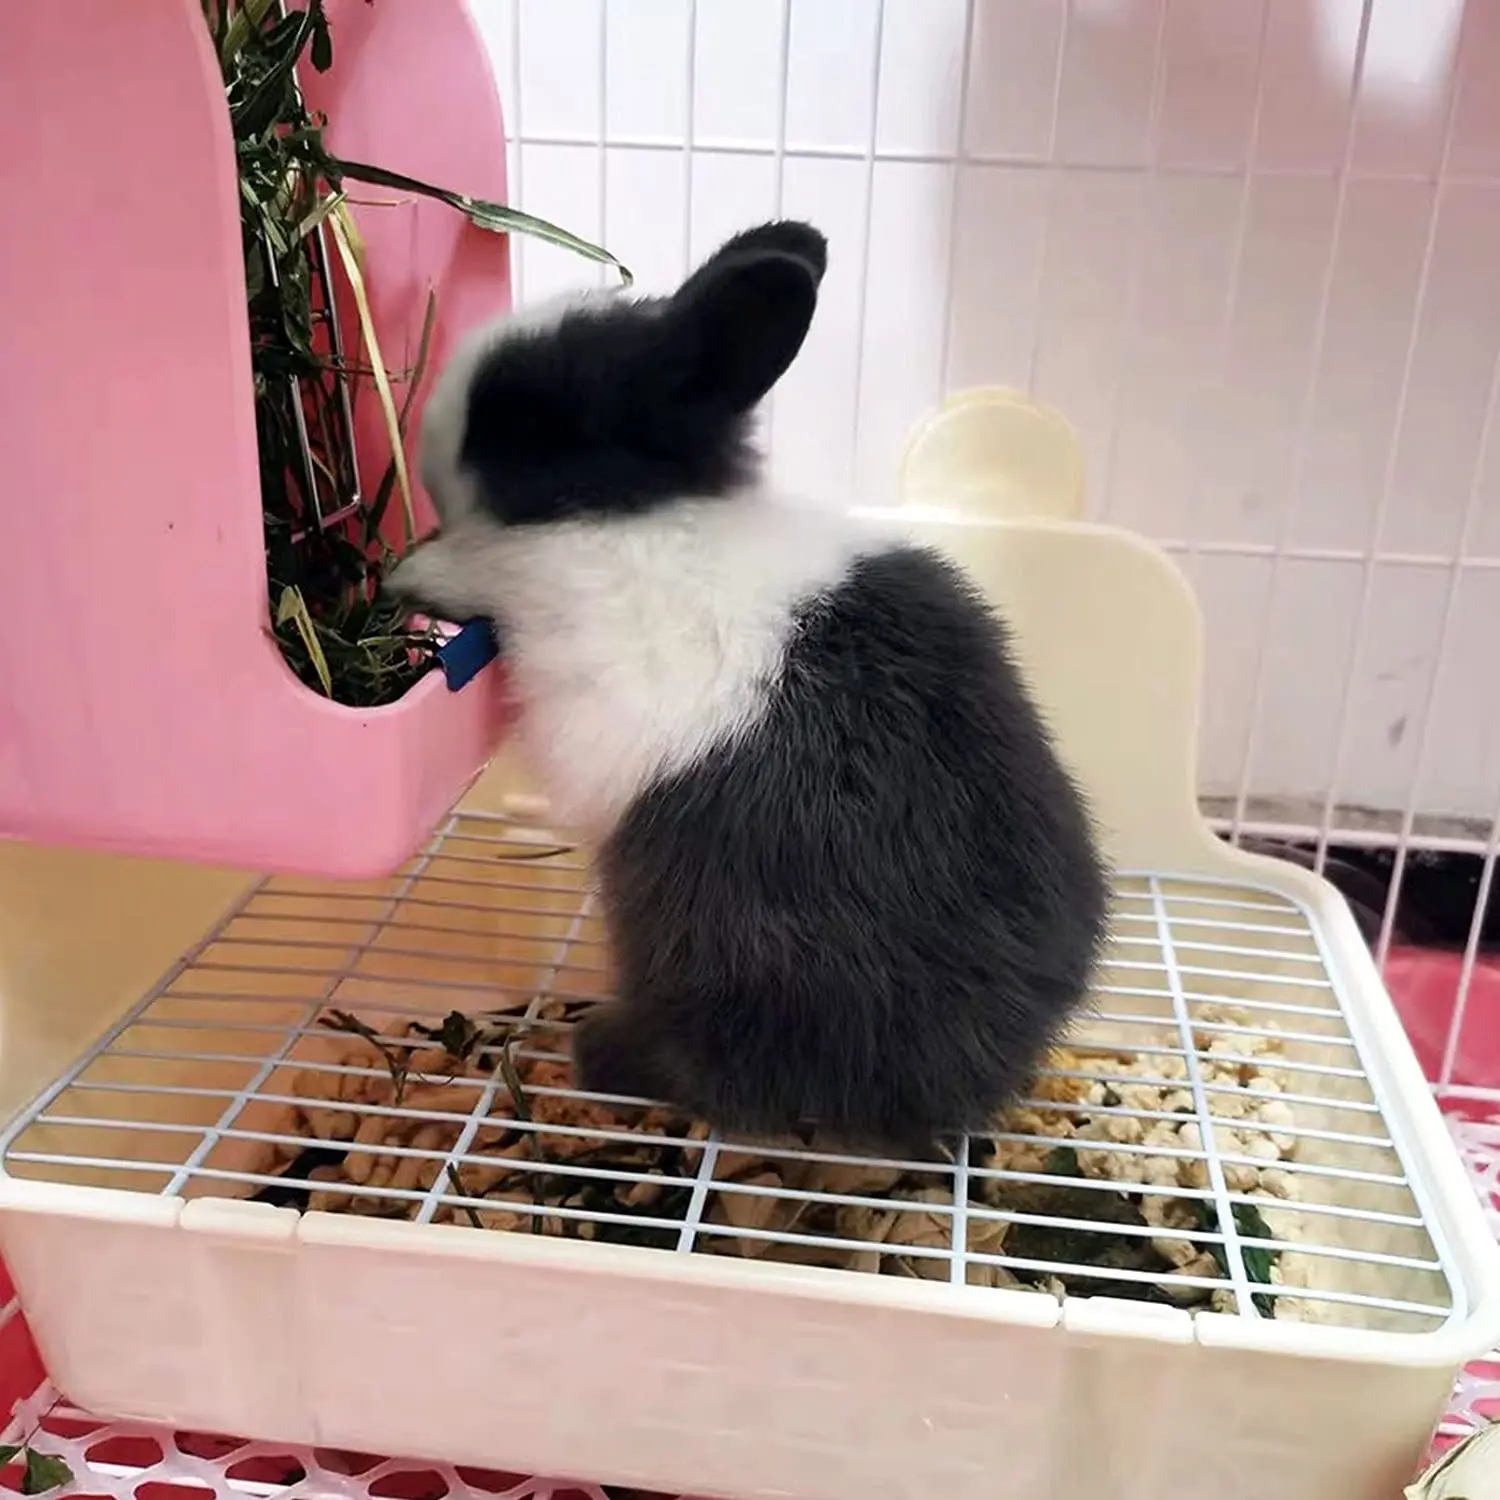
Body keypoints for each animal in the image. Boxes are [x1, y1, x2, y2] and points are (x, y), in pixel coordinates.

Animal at [385, 220, 1109, 1151]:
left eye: (527, 421)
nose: (428, 432)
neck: (638, 507)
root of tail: (981, 1061)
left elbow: (464, 570)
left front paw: (404, 575)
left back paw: (600, 1053)